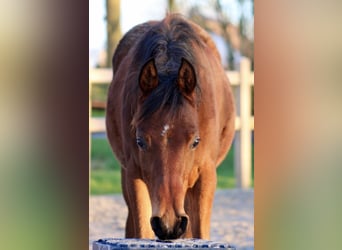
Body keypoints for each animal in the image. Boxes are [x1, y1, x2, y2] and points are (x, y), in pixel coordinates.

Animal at [107, 13, 235, 240]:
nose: (169, 225)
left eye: (195, 141)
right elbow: (142, 231)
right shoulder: (133, 175)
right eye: (140, 141)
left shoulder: (206, 176)